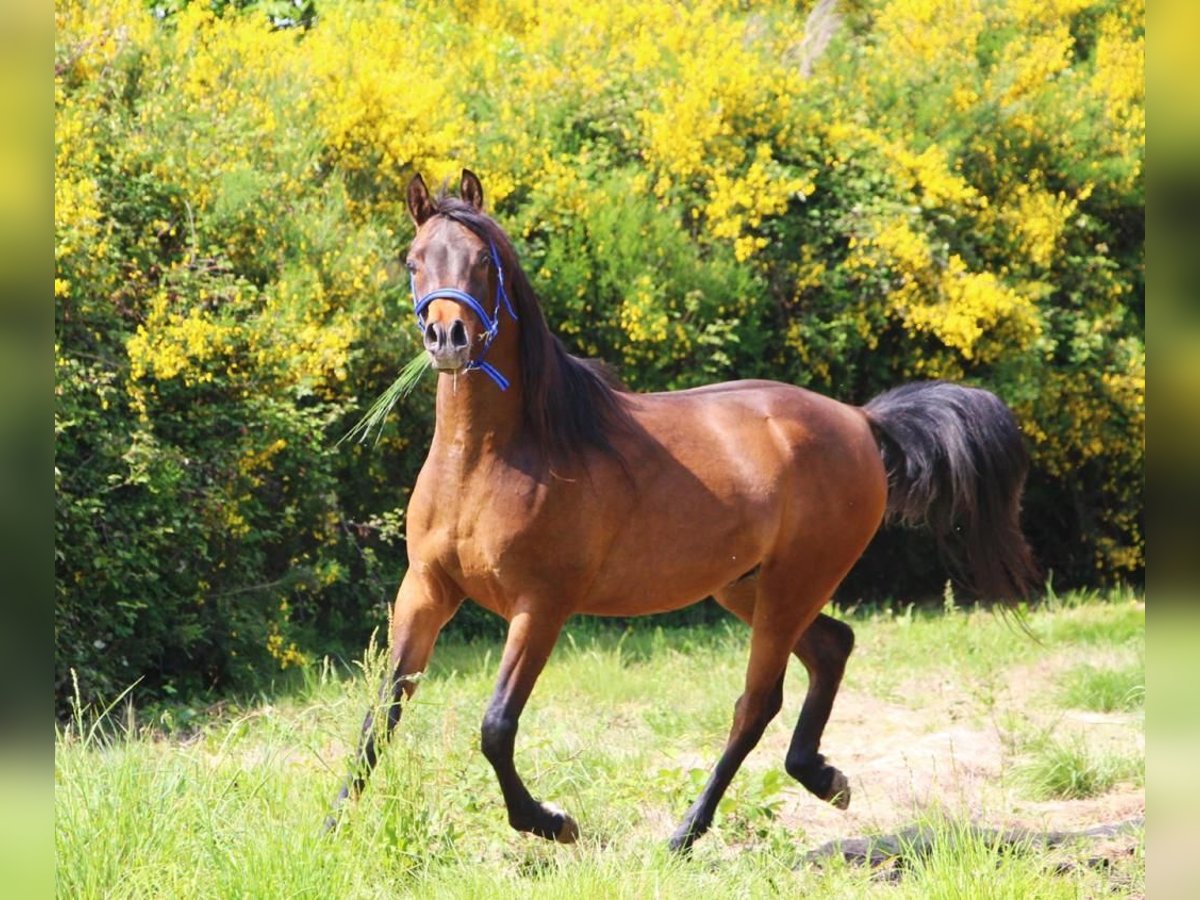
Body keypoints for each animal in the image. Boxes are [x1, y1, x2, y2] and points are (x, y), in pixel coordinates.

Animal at [324, 169, 1036, 854]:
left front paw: (552, 823)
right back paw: (824, 778)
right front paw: (331, 830)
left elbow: (496, 726)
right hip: (747, 587)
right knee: (833, 646)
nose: (447, 336)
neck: (489, 459)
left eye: (483, 260)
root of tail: (860, 420)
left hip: (791, 586)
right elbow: (380, 711)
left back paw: (686, 834)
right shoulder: (426, 590)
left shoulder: (542, 605)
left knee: (756, 704)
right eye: (413, 260)